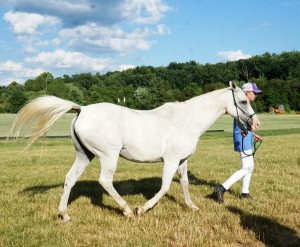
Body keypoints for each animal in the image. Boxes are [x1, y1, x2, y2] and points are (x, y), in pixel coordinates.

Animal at [10, 81, 260, 222]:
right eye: (242, 102)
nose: (254, 123)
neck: (186, 120)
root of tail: (82, 109)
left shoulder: (182, 160)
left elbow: (185, 184)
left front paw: (192, 207)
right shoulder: (170, 160)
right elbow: (165, 186)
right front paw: (142, 209)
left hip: (84, 155)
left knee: (70, 179)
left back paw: (64, 215)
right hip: (108, 157)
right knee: (105, 181)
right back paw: (128, 211)